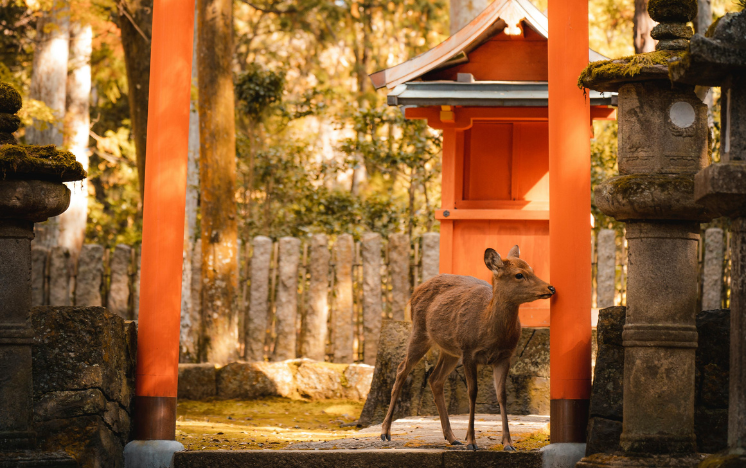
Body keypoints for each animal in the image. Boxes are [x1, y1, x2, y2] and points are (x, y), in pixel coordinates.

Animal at [380, 245, 555, 451]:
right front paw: (471, 441)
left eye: (532, 270)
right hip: (420, 332)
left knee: (435, 379)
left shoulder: (505, 356)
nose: (550, 288)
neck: (489, 329)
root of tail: (416, 290)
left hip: (450, 351)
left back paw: (452, 437)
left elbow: (502, 395)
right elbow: (472, 393)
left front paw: (508, 443)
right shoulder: (469, 352)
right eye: (519, 275)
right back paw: (385, 432)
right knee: (401, 370)